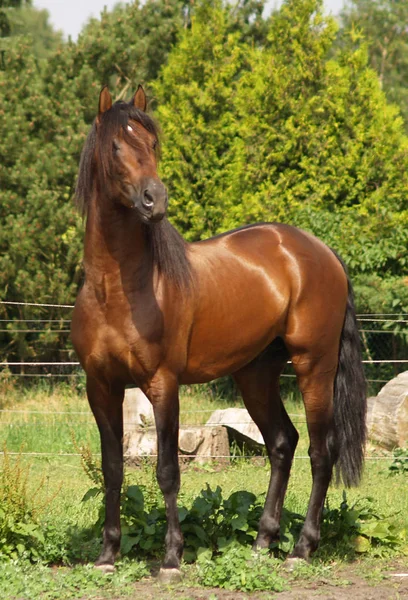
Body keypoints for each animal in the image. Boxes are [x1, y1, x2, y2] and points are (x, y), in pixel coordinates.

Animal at [71, 84, 368, 580]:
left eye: (152, 144)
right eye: (115, 146)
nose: (155, 199)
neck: (118, 288)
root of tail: (321, 251)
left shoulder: (162, 385)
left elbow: (168, 470)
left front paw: (172, 558)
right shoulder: (102, 387)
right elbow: (113, 469)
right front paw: (107, 556)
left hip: (315, 366)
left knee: (321, 451)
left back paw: (300, 548)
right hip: (256, 374)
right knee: (282, 444)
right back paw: (262, 542)